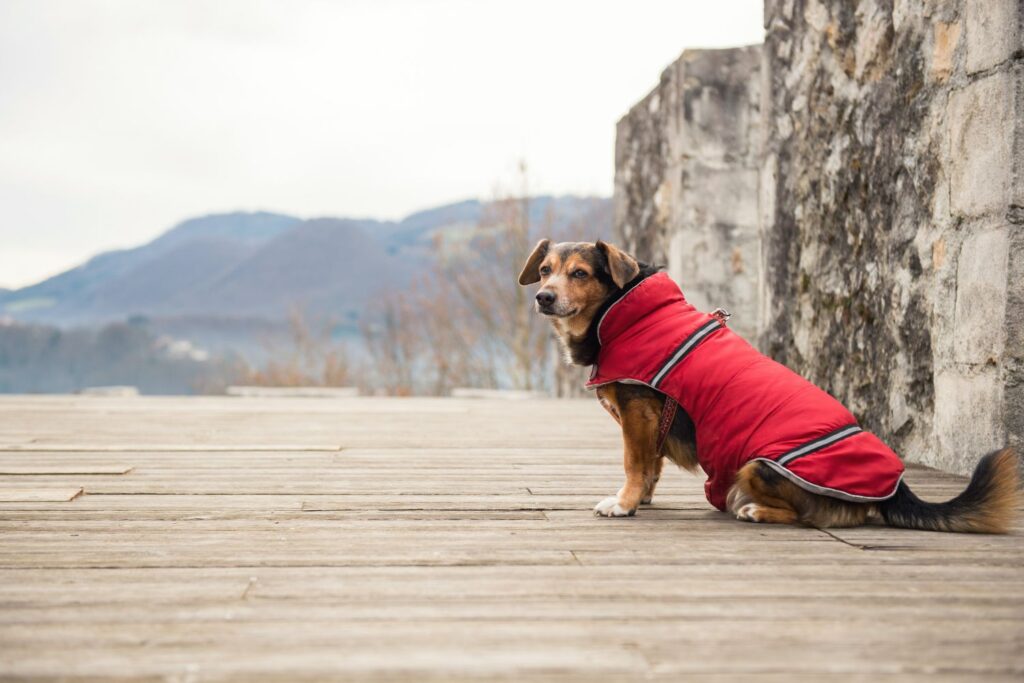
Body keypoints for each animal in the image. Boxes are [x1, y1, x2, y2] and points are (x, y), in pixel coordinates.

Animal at [520, 240, 1015, 532]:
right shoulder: (647, 421)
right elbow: (652, 468)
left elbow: (634, 464)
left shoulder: (638, 411)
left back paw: (755, 511)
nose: (543, 296)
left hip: (757, 465)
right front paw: (641, 499)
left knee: (808, 515)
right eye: (544, 269)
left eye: (580, 273)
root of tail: (896, 487)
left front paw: (624, 504)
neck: (623, 310)